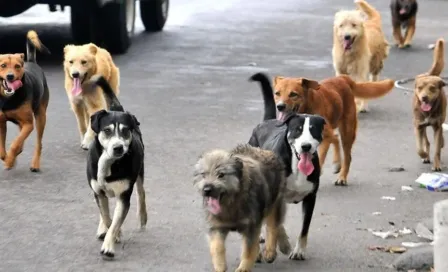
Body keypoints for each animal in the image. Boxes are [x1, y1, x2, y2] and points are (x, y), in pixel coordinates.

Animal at [0, 29, 50, 171]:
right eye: (3, 65)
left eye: (17, 66)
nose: (10, 76)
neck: (9, 98)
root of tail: (32, 62)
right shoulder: (1, 123)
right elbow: (2, 149)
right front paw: (8, 159)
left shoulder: (29, 124)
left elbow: (15, 143)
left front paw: (10, 159)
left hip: (40, 117)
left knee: (38, 143)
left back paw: (35, 164)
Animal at [85, 74, 146, 260]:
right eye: (107, 130)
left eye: (125, 131)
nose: (118, 147)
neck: (109, 163)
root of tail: (117, 108)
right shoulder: (98, 191)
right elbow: (107, 217)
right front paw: (113, 232)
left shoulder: (123, 196)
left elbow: (115, 221)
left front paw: (109, 246)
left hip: (140, 173)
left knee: (141, 194)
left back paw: (143, 217)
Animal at [248, 72, 326, 262]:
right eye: (297, 129)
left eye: (313, 130)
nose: (306, 146)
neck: (296, 167)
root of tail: (267, 121)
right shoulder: (276, 195)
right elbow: (276, 224)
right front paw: (277, 246)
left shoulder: (310, 198)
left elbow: (304, 228)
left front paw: (298, 250)